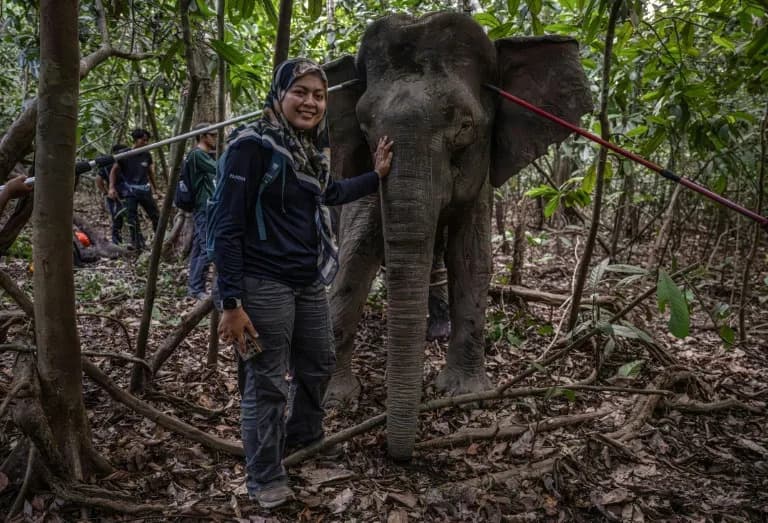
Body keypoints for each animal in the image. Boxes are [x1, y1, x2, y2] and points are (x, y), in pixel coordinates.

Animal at [322, 11, 592, 460]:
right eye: (364, 126)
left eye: (465, 126)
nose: (397, 452)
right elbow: (357, 255)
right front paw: (333, 397)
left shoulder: (481, 178)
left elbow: (470, 258)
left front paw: (463, 393)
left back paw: (437, 330)